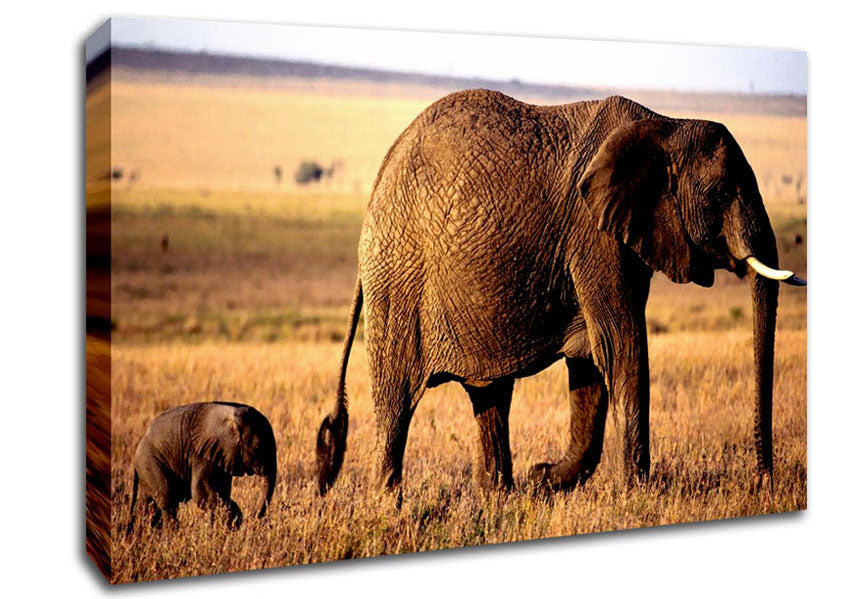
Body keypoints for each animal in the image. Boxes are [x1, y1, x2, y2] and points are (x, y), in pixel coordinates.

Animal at [128, 402, 276, 531]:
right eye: (257, 447)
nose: (253, 518)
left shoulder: (222, 455)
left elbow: (221, 492)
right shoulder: (202, 453)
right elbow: (201, 493)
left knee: (147, 505)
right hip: (151, 461)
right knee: (167, 501)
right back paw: (170, 536)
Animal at [315, 90, 805, 500]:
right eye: (721, 193)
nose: (763, 481)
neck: (665, 124)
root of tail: (380, 177)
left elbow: (590, 359)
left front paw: (544, 478)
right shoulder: (594, 236)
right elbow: (620, 345)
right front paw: (638, 494)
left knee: (489, 395)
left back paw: (498, 497)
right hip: (398, 280)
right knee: (397, 399)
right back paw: (389, 504)